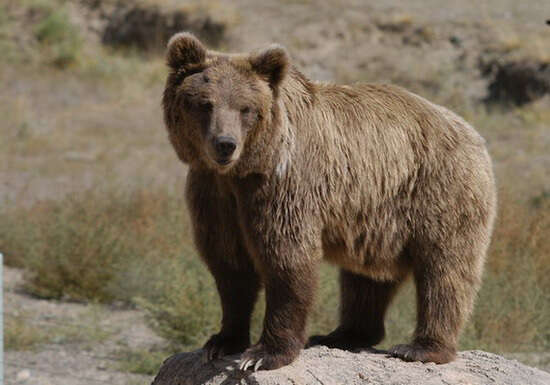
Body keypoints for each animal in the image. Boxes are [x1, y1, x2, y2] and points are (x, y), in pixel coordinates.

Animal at [163, 32, 500, 368]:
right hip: (377, 220)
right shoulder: (214, 192)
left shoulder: (282, 186)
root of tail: (473, 134)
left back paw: (420, 347)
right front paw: (222, 342)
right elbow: (229, 263)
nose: (225, 144)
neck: (244, 169)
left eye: (245, 108)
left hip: (440, 190)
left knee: (446, 270)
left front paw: (264, 353)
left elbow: (286, 259)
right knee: (367, 279)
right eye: (205, 104)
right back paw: (343, 334)